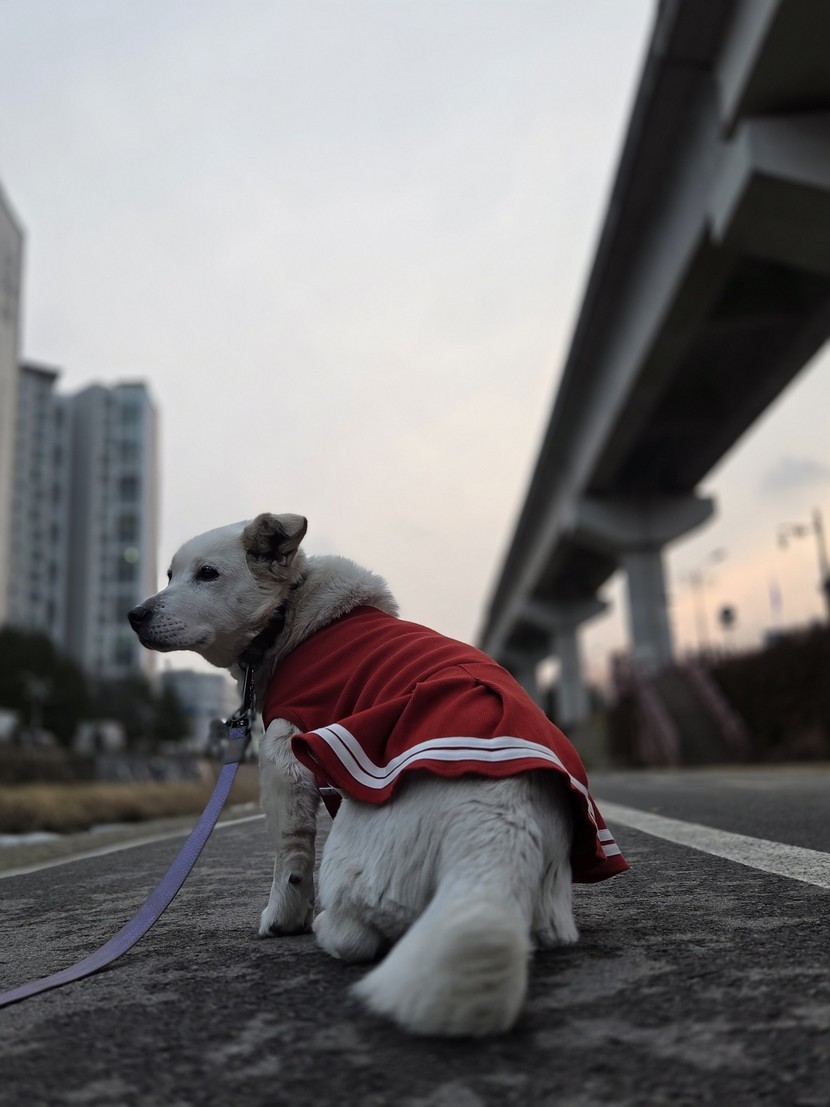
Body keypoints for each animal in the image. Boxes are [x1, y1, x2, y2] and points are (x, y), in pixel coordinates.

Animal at [129, 513, 627, 1036]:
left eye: (207, 574)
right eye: (169, 575)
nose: (134, 615)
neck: (289, 614)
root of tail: (495, 825)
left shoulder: (284, 754)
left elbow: (290, 856)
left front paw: (283, 918)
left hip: (352, 849)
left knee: (355, 935)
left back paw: (327, 927)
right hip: (549, 899)